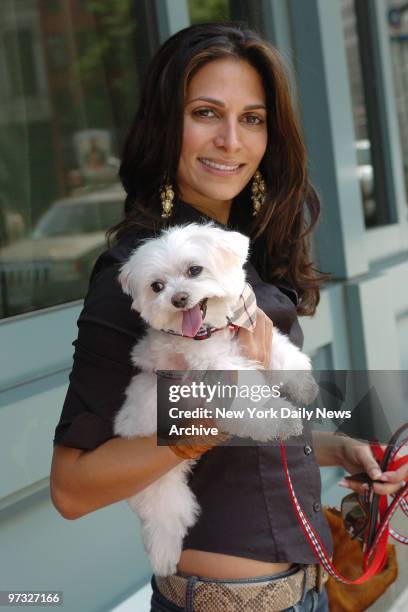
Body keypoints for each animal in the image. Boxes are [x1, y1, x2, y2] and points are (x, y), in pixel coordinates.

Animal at [114, 222, 316, 576]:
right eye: (156, 286)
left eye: (194, 270)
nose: (179, 299)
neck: (209, 332)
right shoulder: (216, 370)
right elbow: (248, 400)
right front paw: (279, 417)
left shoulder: (252, 331)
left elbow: (281, 354)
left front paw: (303, 384)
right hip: (156, 480)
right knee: (165, 515)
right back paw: (164, 555)